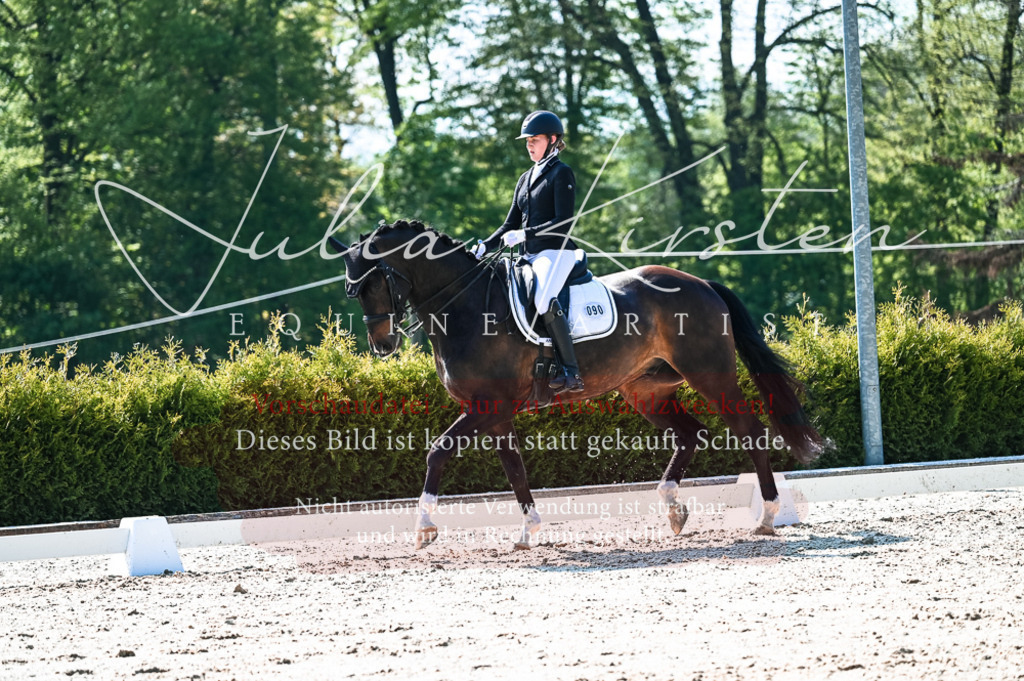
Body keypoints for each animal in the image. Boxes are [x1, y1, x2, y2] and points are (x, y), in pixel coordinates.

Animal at [329, 219, 824, 549]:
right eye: (351, 290)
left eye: (374, 282)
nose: (382, 344)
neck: (465, 306)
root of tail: (700, 282)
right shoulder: (496, 414)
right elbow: (515, 469)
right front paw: (528, 531)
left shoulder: (488, 407)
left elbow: (438, 451)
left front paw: (425, 528)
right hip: (647, 390)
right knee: (692, 434)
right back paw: (673, 509)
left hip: (711, 374)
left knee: (750, 431)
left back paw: (768, 515)